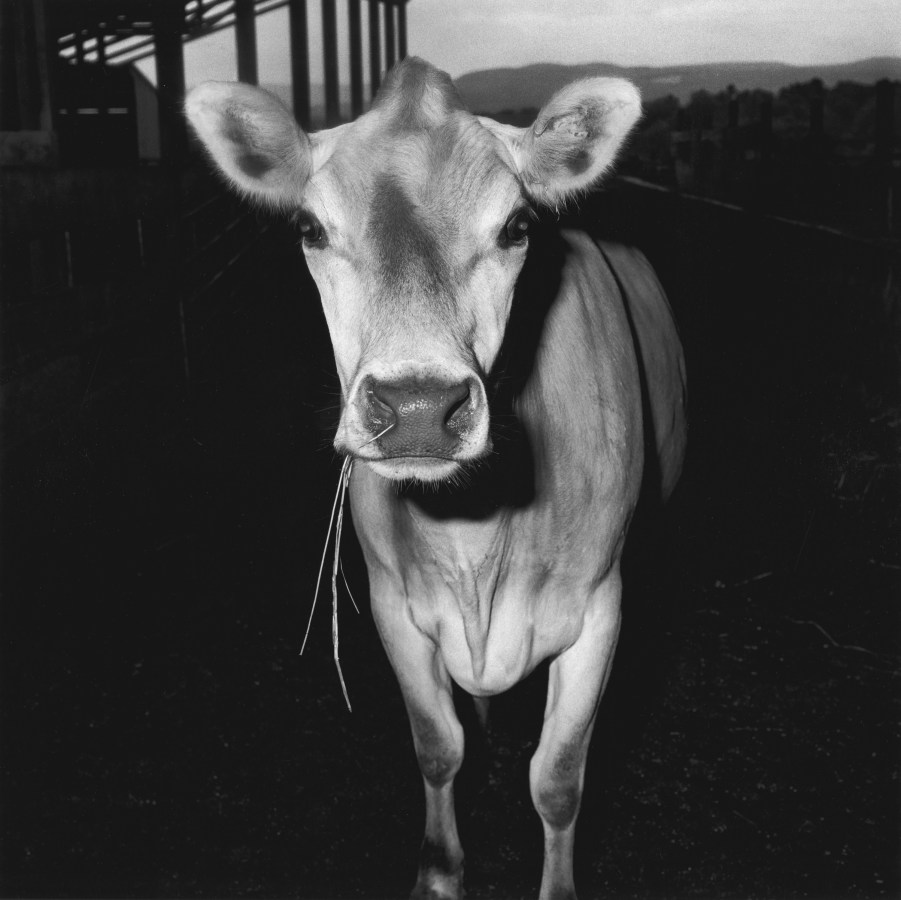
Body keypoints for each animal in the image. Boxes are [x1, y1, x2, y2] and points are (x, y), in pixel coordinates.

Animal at [186, 57, 687, 900]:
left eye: (516, 227)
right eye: (309, 228)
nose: (417, 407)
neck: (475, 540)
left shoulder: (600, 609)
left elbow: (557, 780)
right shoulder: (393, 604)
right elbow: (436, 746)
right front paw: (440, 869)